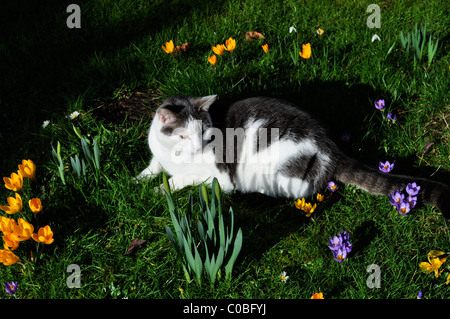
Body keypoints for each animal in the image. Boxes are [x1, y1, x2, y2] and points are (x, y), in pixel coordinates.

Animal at [137, 95, 450, 219]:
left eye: (203, 132)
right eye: (182, 136)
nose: (197, 147)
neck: (174, 156)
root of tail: (332, 147)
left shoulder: (219, 178)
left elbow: (185, 178)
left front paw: (162, 187)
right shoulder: (158, 153)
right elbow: (154, 165)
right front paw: (140, 179)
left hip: (276, 173)